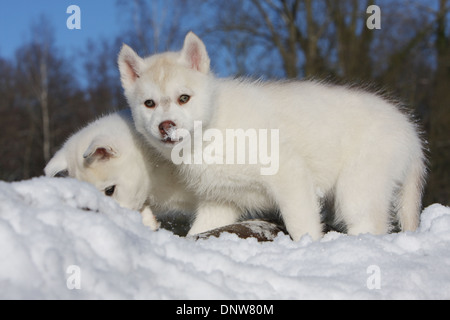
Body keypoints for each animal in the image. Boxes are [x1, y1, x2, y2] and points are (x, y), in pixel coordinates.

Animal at [118, 32, 428, 241]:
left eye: (184, 98)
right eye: (149, 104)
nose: (165, 126)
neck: (213, 128)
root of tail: (411, 133)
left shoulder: (290, 174)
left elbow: (302, 225)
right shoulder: (221, 202)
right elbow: (199, 231)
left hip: (356, 193)